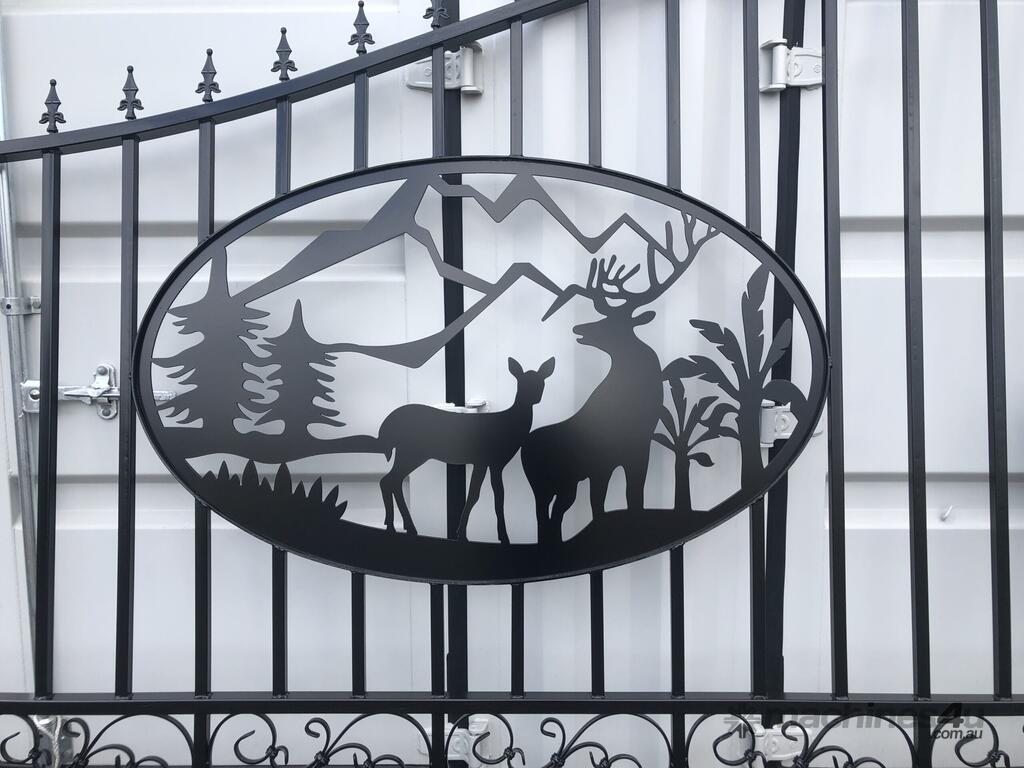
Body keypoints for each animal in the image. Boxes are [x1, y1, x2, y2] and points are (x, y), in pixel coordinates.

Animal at [377, 356, 556, 543]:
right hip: (412, 452)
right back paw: (399, 527)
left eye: (541, 382)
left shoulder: (493, 463)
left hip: (409, 453)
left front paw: (496, 536)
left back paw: (401, 526)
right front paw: (469, 535)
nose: (534, 397)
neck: (508, 424)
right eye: (521, 382)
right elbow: (479, 496)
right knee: (389, 480)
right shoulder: (485, 460)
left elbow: (492, 496)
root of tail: (387, 426)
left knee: (391, 481)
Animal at [521, 214, 718, 543]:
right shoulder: (602, 461)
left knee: (552, 519)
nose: (580, 329)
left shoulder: (637, 448)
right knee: (543, 518)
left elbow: (631, 495)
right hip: (545, 484)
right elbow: (602, 504)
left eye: (613, 321)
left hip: (561, 485)